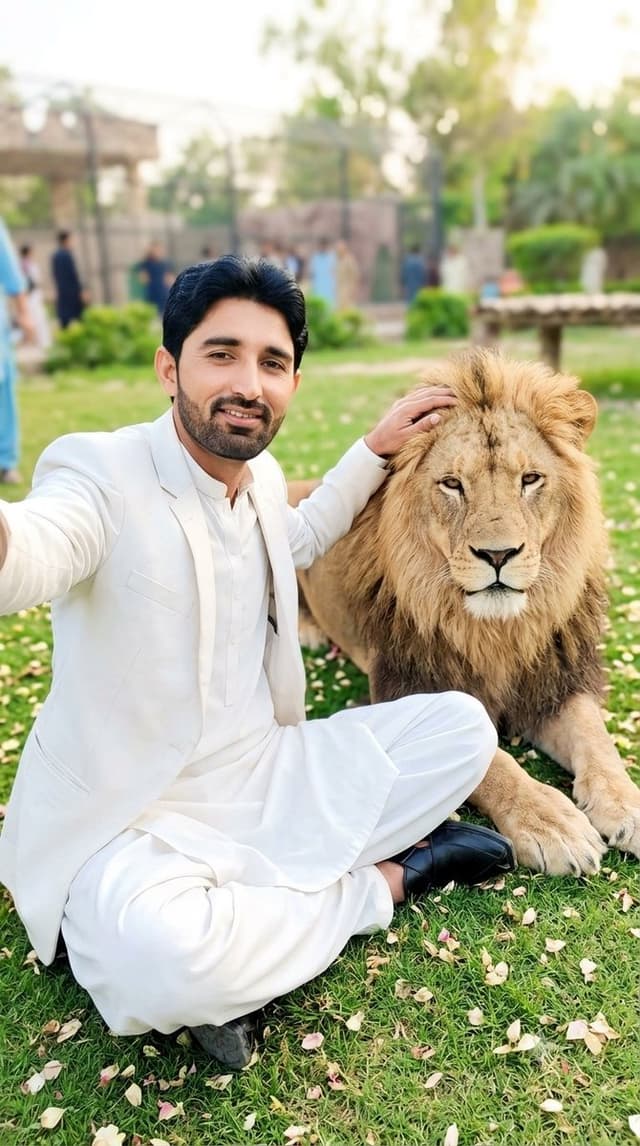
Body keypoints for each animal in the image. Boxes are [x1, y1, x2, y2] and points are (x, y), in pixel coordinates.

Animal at [289, 349, 640, 876]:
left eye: (530, 479)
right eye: (452, 484)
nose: (498, 555)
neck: (497, 632)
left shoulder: (556, 681)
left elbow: (596, 739)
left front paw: (629, 805)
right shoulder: (409, 685)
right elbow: (494, 761)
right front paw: (550, 823)